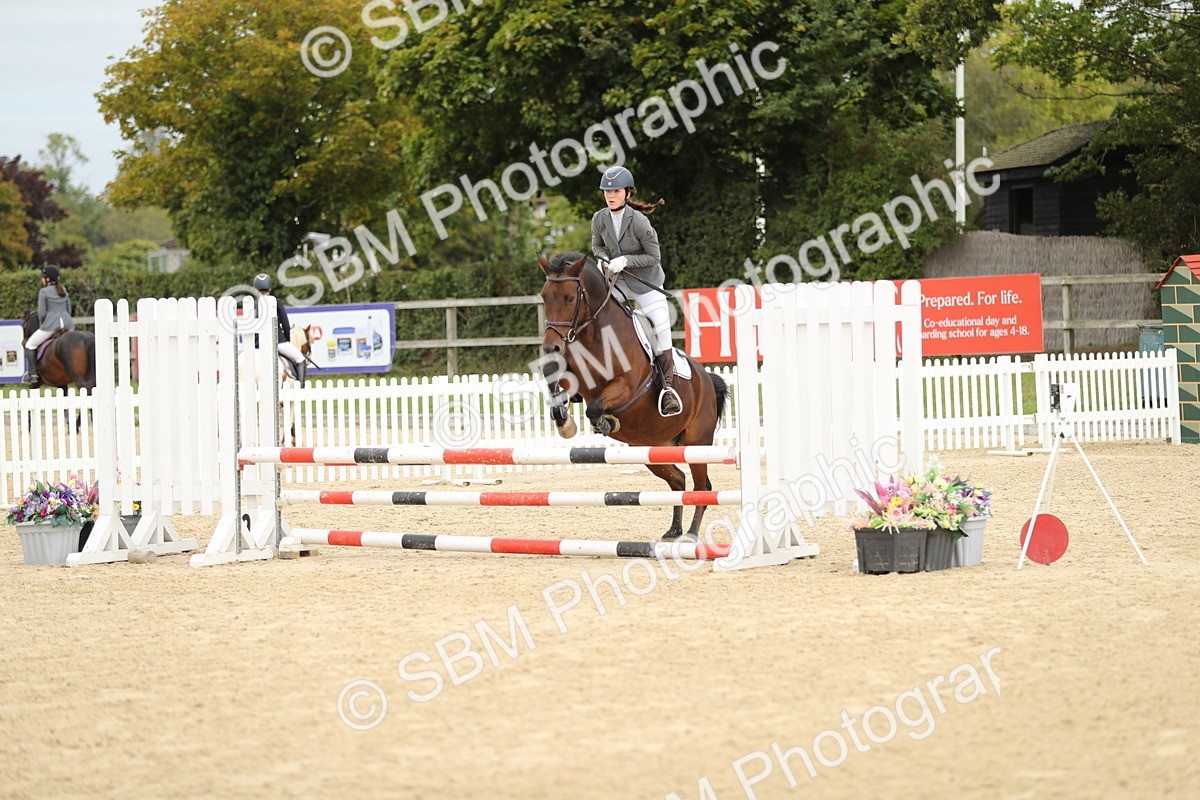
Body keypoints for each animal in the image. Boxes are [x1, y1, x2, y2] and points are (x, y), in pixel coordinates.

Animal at [538, 252, 729, 542]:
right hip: (651, 448)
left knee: (701, 487)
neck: (594, 334)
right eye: (544, 297)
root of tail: (707, 380)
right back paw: (674, 530)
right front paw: (564, 421)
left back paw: (691, 535)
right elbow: (552, 375)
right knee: (679, 481)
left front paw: (605, 422)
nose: (552, 347)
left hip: (697, 443)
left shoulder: (625, 386)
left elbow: (594, 408)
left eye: (571, 298)